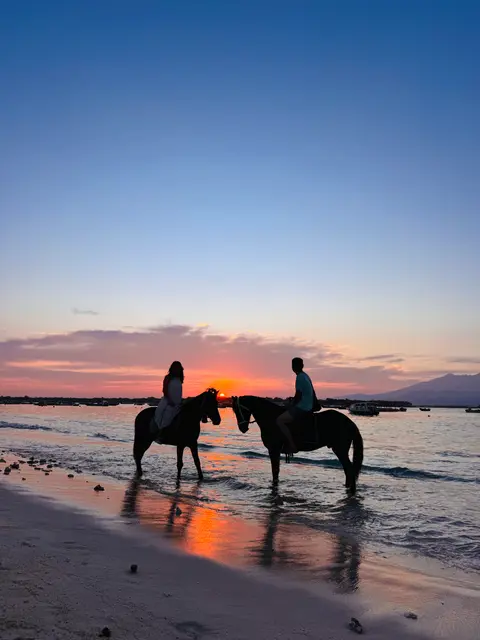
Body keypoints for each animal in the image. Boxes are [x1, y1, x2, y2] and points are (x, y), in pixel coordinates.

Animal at [231, 396, 363, 493]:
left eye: (238, 409)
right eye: (234, 410)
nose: (242, 428)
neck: (271, 418)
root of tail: (350, 422)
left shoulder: (273, 449)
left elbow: (275, 471)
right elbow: (276, 471)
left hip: (340, 450)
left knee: (349, 470)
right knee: (347, 470)